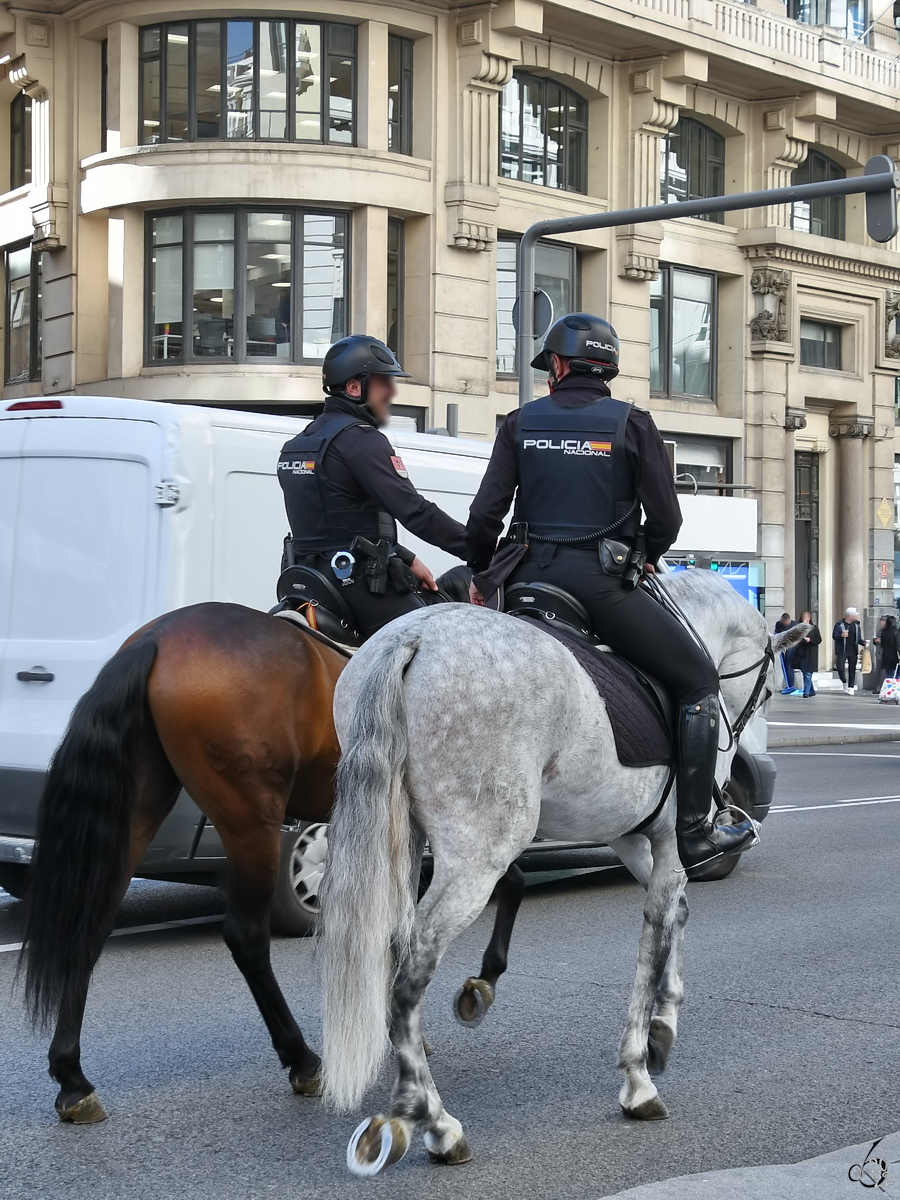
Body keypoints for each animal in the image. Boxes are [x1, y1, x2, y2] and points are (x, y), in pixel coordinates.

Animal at [319, 571, 811, 1171]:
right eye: (769, 691)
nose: (739, 742)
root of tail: (413, 636)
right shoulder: (670, 844)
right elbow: (657, 929)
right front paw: (638, 1076)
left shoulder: (633, 839)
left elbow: (676, 916)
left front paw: (663, 1028)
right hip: (477, 857)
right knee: (409, 972)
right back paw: (435, 1123)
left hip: (403, 841)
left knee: (390, 947)